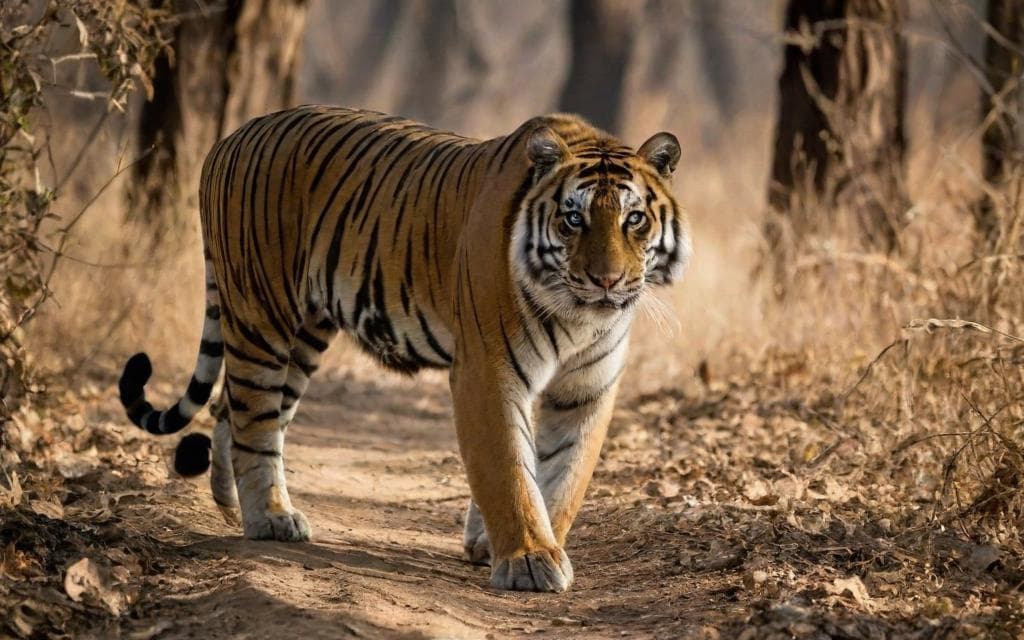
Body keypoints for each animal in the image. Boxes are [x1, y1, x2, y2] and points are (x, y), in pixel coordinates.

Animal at [118, 105, 689, 592]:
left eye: (634, 219)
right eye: (573, 219)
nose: (606, 281)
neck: (578, 317)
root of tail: (229, 138)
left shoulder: (587, 388)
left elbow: (562, 475)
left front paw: (516, 545)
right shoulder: (488, 370)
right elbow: (508, 468)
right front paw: (528, 559)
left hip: (304, 335)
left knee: (230, 408)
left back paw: (230, 507)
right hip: (264, 315)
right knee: (254, 422)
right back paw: (271, 519)